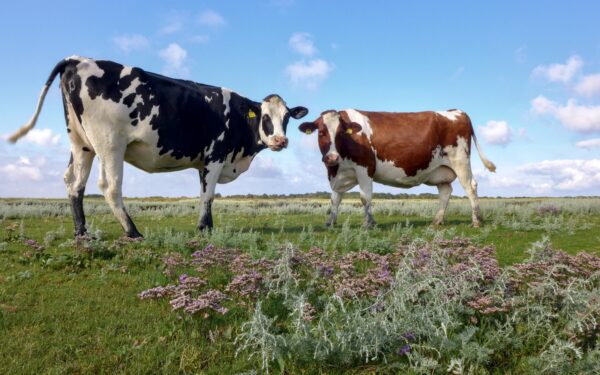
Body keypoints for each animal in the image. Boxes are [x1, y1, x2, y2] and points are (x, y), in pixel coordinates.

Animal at [8, 55, 310, 238]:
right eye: (265, 117)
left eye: (287, 118)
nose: (280, 141)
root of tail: (78, 59)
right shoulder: (215, 156)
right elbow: (208, 196)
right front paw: (204, 229)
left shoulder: (204, 162)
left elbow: (204, 194)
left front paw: (207, 227)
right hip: (110, 144)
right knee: (109, 186)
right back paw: (132, 232)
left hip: (81, 144)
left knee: (74, 182)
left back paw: (82, 233)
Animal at [300, 108, 496, 229]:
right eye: (321, 132)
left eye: (341, 133)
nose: (331, 157)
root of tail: (456, 111)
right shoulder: (339, 174)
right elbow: (335, 199)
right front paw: (330, 223)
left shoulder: (365, 167)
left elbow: (365, 197)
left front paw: (368, 224)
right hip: (441, 169)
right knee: (446, 191)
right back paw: (437, 221)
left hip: (460, 161)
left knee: (471, 187)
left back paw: (476, 221)